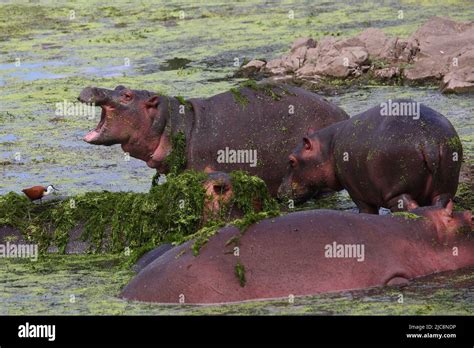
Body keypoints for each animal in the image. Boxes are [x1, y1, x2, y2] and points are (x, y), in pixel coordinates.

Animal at [278, 98, 462, 212]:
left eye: (291, 160)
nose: (278, 192)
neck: (327, 147)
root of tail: (427, 140)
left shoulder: (358, 195)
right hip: (445, 187)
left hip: (396, 192)